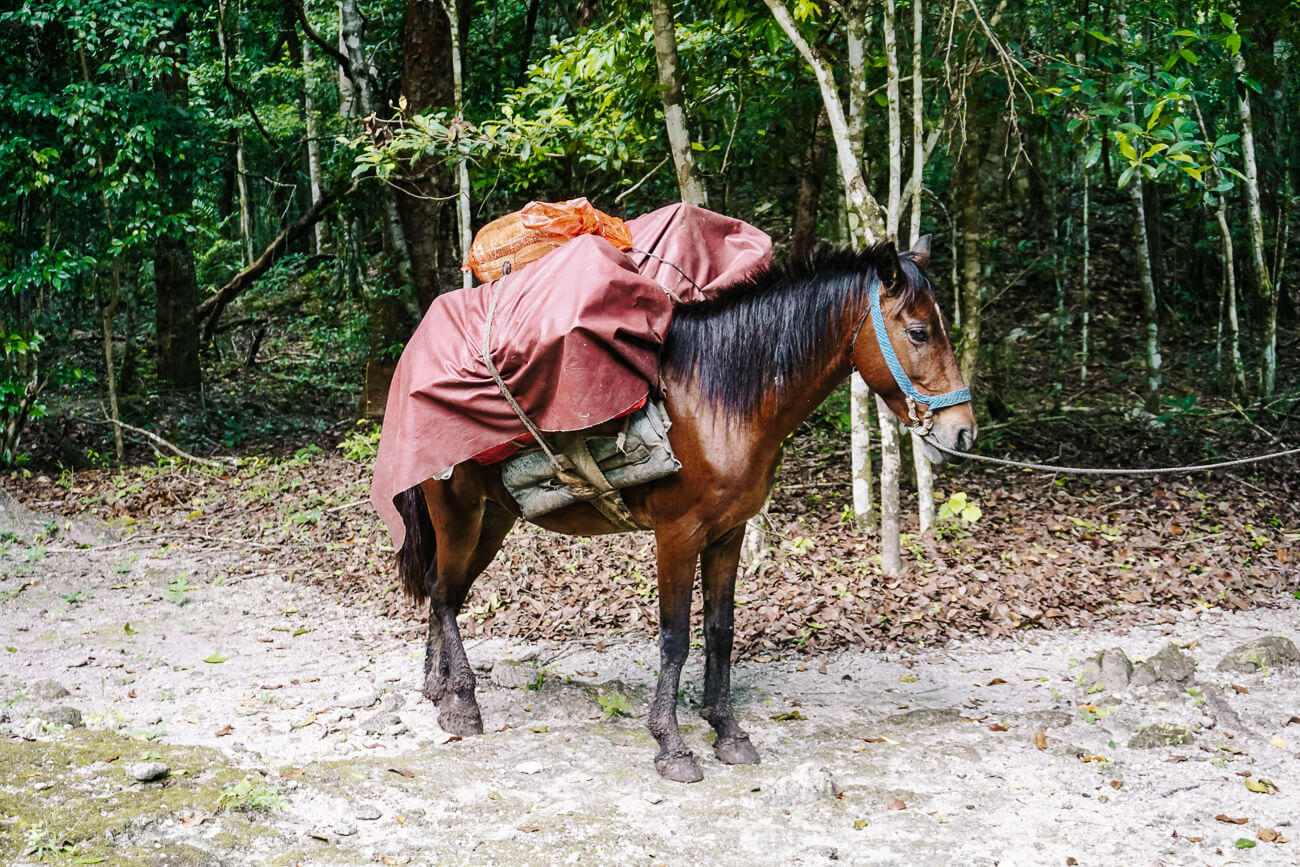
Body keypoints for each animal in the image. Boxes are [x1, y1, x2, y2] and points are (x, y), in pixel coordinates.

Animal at [392, 237, 977, 785]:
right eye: (920, 332)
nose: (963, 432)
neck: (721, 399)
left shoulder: (728, 533)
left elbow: (720, 630)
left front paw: (728, 730)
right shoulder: (676, 534)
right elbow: (675, 638)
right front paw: (671, 745)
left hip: (493, 518)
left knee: (444, 591)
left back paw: (438, 688)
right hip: (459, 513)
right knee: (442, 594)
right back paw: (463, 703)